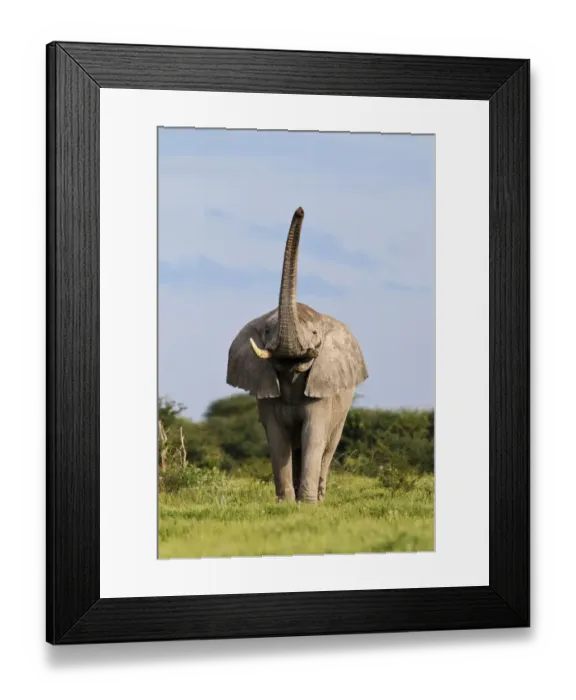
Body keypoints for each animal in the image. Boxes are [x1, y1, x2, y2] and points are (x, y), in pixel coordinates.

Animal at [226, 207, 368, 504]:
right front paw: (286, 504)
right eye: (267, 331)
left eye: (314, 333)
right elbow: (277, 438)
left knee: (328, 446)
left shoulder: (322, 391)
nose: (300, 210)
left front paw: (309, 505)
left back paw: (320, 497)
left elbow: (314, 435)